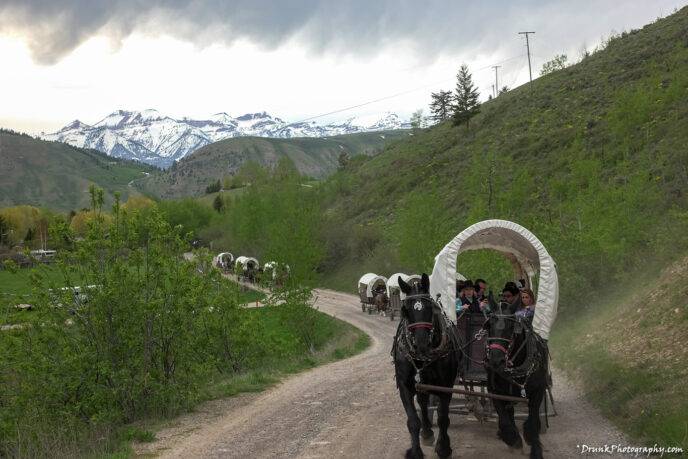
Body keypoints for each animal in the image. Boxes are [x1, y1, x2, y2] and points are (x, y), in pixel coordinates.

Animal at [396, 274, 460, 458]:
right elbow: (413, 421)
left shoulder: (445, 386)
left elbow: (443, 417)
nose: (421, 343)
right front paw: (415, 452)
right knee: (423, 404)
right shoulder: (405, 385)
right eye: (405, 310)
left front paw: (444, 448)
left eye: (430, 308)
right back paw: (426, 433)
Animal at [486, 296, 552, 458]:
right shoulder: (495, 392)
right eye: (489, 324)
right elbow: (504, 421)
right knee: (509, 414)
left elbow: (533, 422)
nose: (496, 360)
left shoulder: (537, 392)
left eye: (511, 327)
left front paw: (535, 449)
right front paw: (513, 439)